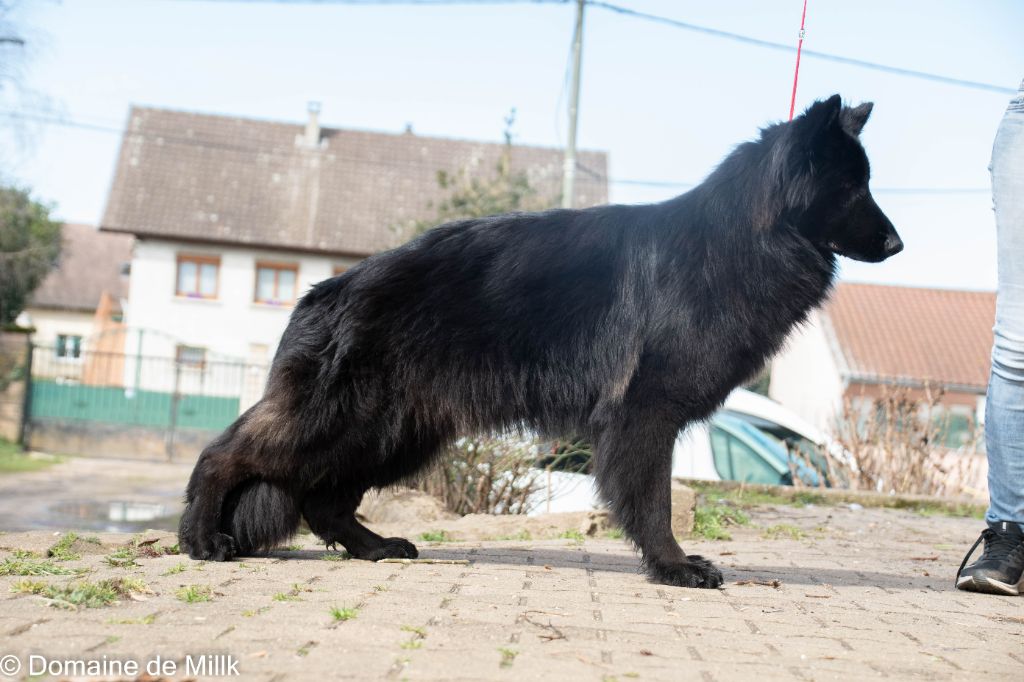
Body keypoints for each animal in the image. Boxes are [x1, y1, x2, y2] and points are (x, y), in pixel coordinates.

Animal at [179, 94, 902, 588]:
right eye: (851, 188)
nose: (898, 244)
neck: (742, 237)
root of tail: (323, 292)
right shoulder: (645, 416)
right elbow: (653, 501)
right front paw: (672, 565)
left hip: (392, 433)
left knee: (322, 499)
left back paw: (375, 546)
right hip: (346, 421)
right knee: (226, 454)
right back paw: (201, 537)